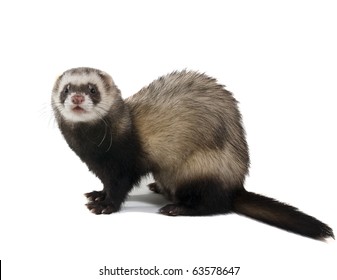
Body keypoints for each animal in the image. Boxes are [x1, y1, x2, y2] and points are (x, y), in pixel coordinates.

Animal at [51, 66, 332, 240]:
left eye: (92, 88)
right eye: (67, 88)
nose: (77, 98)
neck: (94, 149)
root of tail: (235, 186)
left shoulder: (124, 164)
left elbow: (119, 187)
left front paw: (105, 205)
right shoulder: (103, 166)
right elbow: (105, 184)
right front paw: (97, 194)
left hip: (198, 168)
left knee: (212, 204)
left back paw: (176, 208)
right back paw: (158, 187)